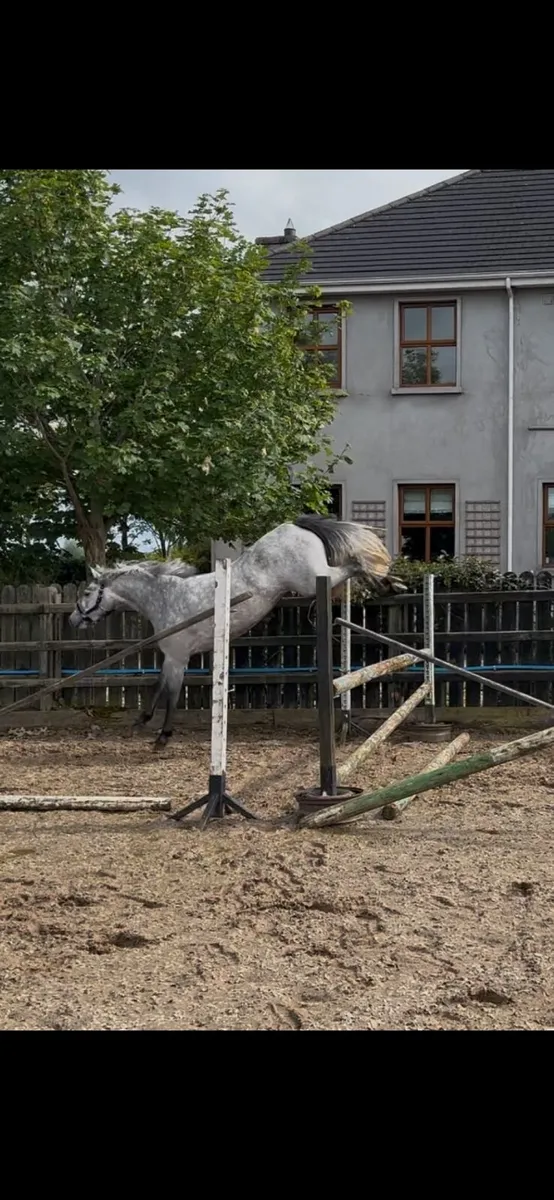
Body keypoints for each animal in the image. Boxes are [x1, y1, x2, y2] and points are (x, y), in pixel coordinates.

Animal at [68, 514, 406, 748]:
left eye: (87, 592)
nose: (73, 620)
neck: (165, 597)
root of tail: (294, 526)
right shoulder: (171, 658)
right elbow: (157, 686)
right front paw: (141, 721)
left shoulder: (179, 659)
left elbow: (171, 694)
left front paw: (162, 737)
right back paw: (390, 583)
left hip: (313, 580)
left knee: (352, 565)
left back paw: (384, 578)